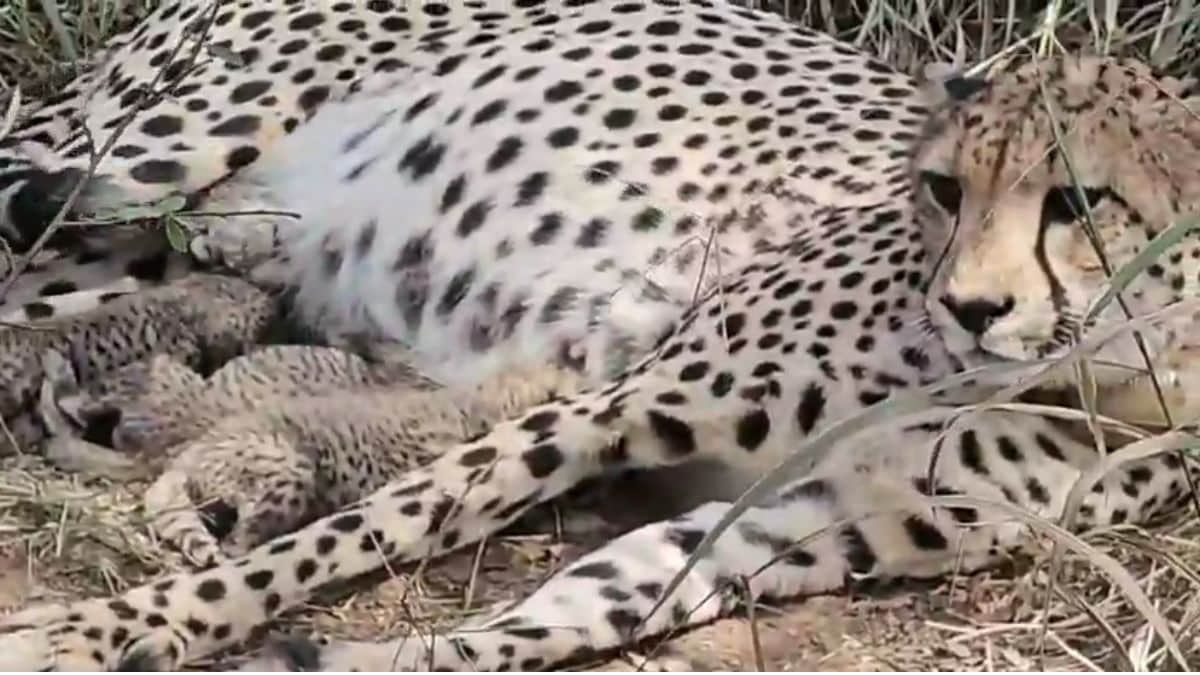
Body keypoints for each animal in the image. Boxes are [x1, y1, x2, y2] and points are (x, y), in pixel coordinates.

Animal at [1, 0, 1200, 672]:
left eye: (1080, 204)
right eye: (948, 190)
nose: (970, 307)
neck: (1113, 371)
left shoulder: (821, 516)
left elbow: (585, 605)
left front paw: (353, 656)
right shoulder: (612, 404)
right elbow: (371, 526)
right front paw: (97, 631)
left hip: (136, 249)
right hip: (145, 150)